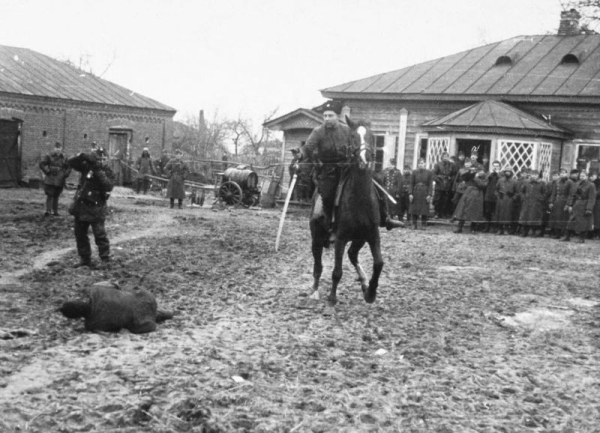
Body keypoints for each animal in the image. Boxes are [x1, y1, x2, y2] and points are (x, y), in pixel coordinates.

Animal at [310, 116, 384, 308]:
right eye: (352, 137)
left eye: (373, 137)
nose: (364, 160)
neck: (360, 199)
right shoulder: (341, 238)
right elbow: (337, 271)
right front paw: (332, 297)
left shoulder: (372, 234)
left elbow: (379, 263)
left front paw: (371, 293)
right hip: (317, 238)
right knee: (318, 265)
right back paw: (314, 290)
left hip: (359, 238)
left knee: (352, 255)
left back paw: (364, 283)